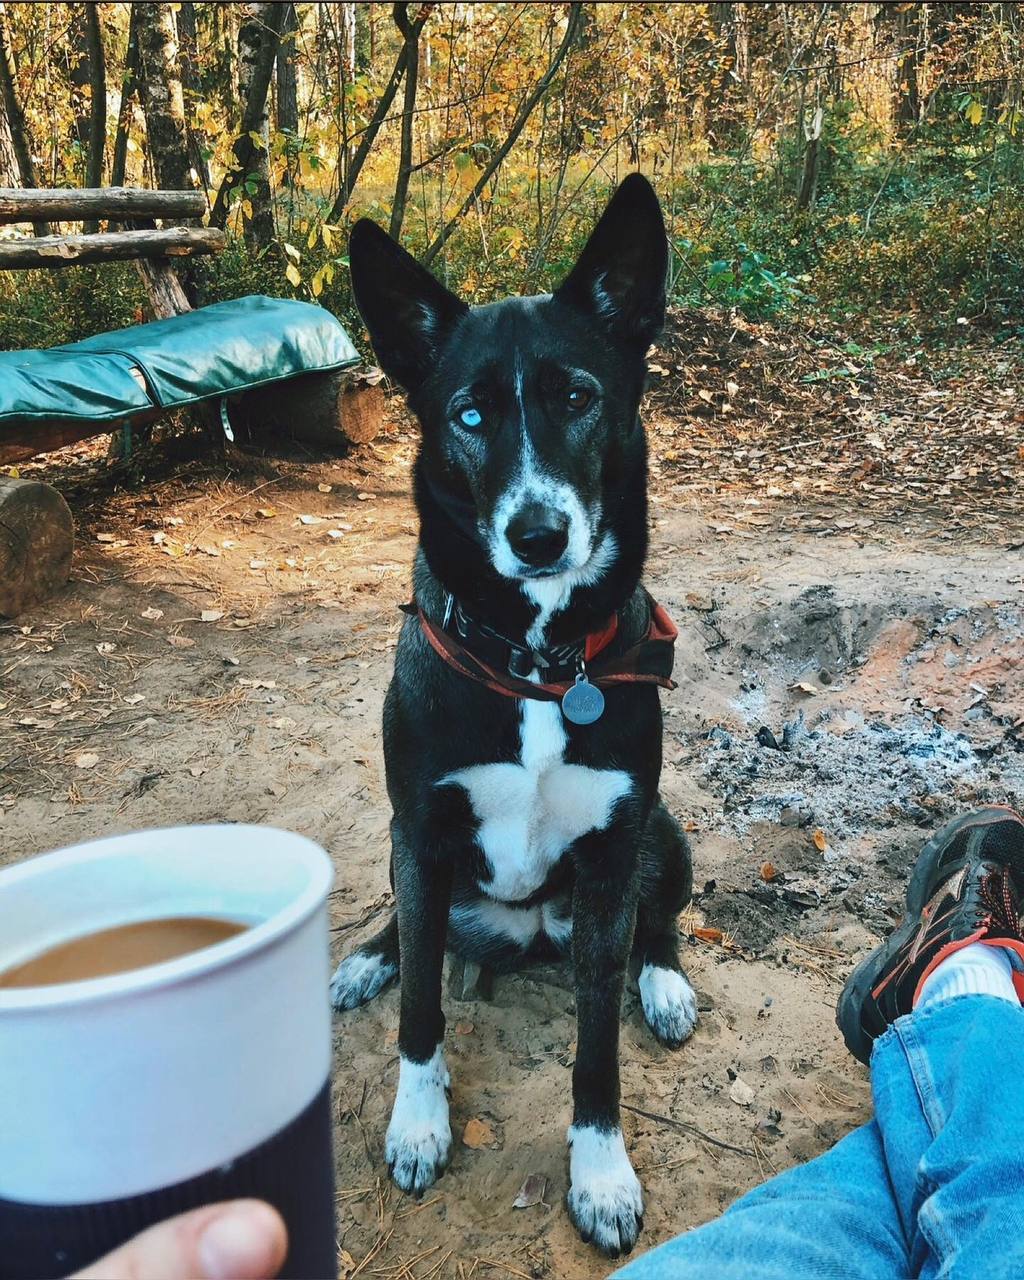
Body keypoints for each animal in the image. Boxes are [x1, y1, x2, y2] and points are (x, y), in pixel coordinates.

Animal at [332, 175, 701, 1254]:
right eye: (466, 414)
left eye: (578, 396)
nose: (539, 536)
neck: (539, 661)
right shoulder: (418, 825)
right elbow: (420, 1008)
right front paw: (419, 1122)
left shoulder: (616, 848)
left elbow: (597, 1051)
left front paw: (602, 1172)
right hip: (418, 857)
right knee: (412, 932)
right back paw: (366, 959)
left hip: (661, 837)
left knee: (659, 919)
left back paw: (663, 980)